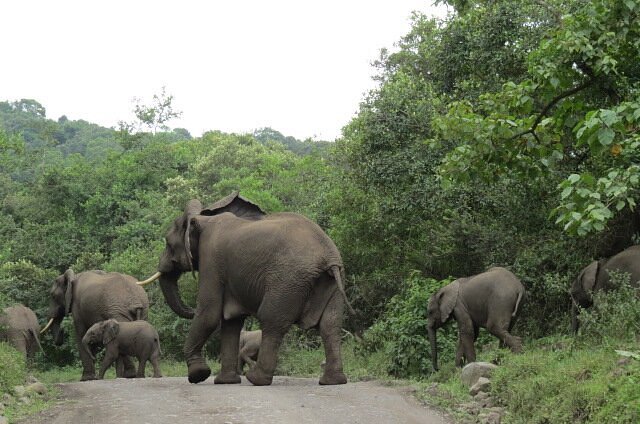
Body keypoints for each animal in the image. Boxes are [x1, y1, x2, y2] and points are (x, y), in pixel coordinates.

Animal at [138, 194, 356, 386]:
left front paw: (198, 375)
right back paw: (333, 381)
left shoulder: (212, 260)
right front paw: (225, 382)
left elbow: (209, 313)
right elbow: (230, 321)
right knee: (330, 325)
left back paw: (256, 379)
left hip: (288, 280)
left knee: (272, 320)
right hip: (333, 280)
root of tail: (328, 256)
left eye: (168, 243)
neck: (203, 218)